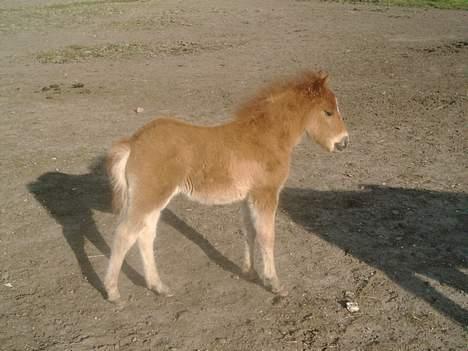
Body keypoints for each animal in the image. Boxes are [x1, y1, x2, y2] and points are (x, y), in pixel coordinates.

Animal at [104, 71, 350, 302]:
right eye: (328, 112)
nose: (344, 143)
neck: (265, 138)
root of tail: (134, 142)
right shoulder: (265, 194)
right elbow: (267, 236)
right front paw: (274, 283)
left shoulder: (248, 197)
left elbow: (250, 232)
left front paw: (249, 272)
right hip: (149, 197)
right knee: (125, 234)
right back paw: (113, 291)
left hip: (155, 199)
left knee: (145, 236)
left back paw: (159, 286)